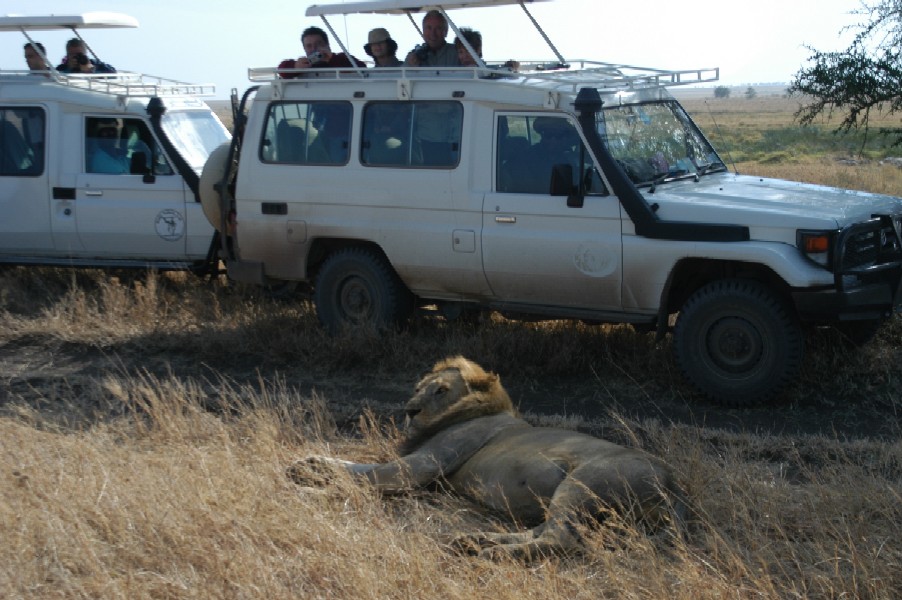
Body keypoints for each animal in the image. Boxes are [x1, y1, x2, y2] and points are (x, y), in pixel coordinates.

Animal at [294, 356, 688, 556]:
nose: (409, 410)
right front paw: (309, 464)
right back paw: (475, 541)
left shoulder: (426, 464)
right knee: (548, 531)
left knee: (559, 540)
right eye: (418, 388)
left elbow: (372, 475)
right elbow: (361, 467)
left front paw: (315, 489)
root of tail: (676, 490)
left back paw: (490, 552)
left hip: (581, 483)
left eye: (440, 390)